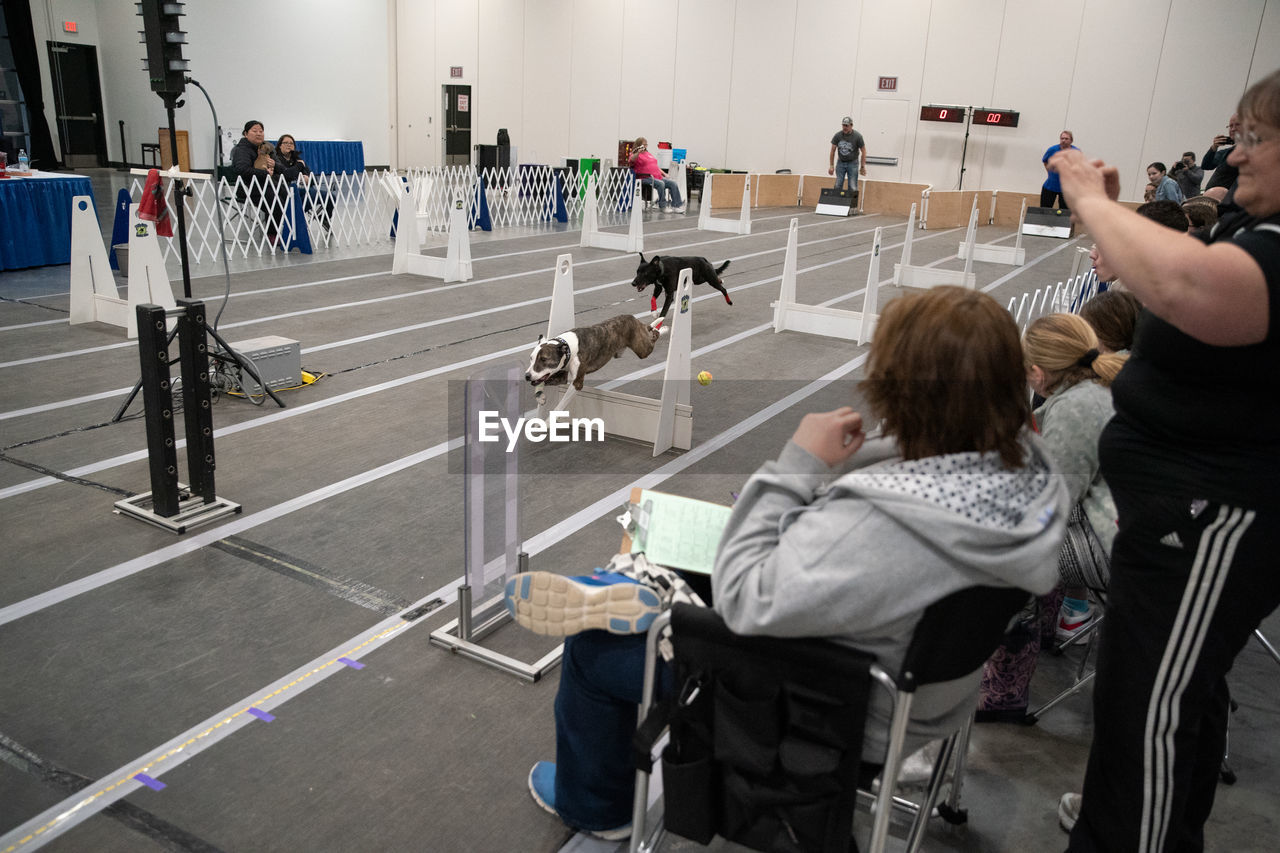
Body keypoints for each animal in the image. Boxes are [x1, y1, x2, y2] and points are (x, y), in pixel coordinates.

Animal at [522, 313, 660, 404]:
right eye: (531, 359)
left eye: (544, 359)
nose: (527, 376)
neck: (568, 347)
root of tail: (632, 318)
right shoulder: (560, 377)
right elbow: (540, 381)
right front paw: (540, 396)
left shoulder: (577, 383)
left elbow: (560, 405)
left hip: (642, 350)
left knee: (654, 335)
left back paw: (661, 326)